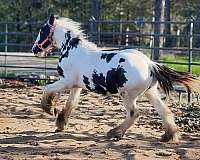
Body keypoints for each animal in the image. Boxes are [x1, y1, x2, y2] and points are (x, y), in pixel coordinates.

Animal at [32, 14, 199, 142]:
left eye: (42, 30)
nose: (34, 49)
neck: (71, 50)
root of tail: (150, 63)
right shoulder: (76, 86)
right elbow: (70, 104)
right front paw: (60, 124)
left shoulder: (66, 81)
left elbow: (47, 88)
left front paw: (49, 108)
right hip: (150, 92)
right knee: (165, 111)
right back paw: (169, 136)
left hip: (127, 94)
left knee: (134, 113)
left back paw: (114, 133)